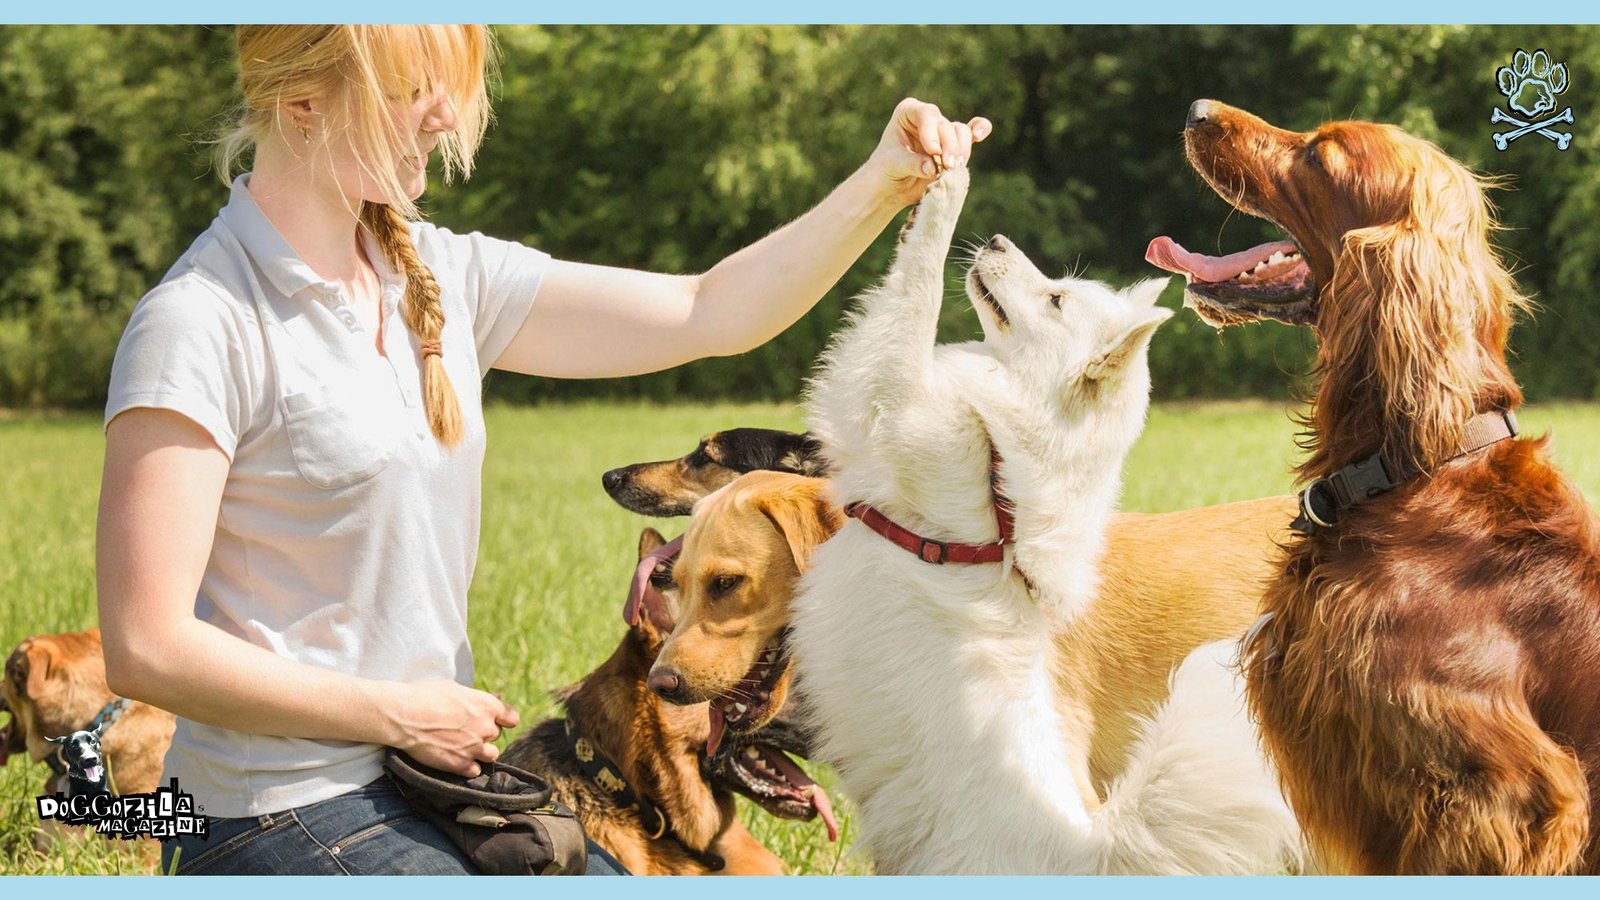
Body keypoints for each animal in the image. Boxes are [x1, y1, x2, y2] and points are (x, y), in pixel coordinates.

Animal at [787, 166, 1299, 871]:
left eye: (1055, 300)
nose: (999, 239)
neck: (999, 469)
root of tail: (1091, 849)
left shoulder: (886, 397)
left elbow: (914, 286)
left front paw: (945, 188)